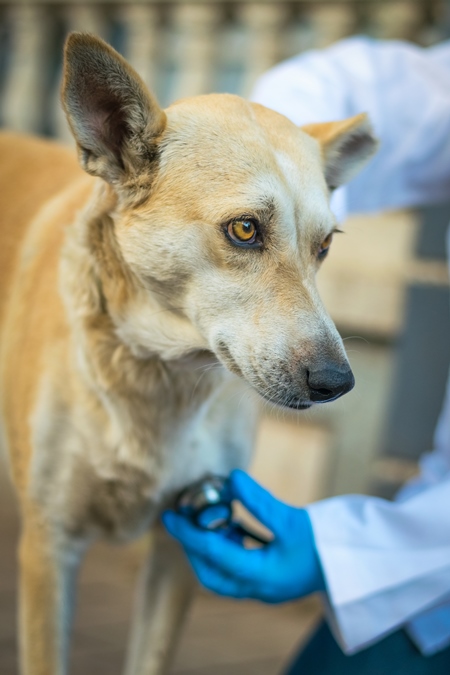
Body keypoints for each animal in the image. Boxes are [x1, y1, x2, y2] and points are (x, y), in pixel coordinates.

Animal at [0, 34, 378, 675]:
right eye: (245, 230)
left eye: (325, 246)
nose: (336, 382)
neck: (158, 380)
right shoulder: (49, 545)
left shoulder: (183, 542)